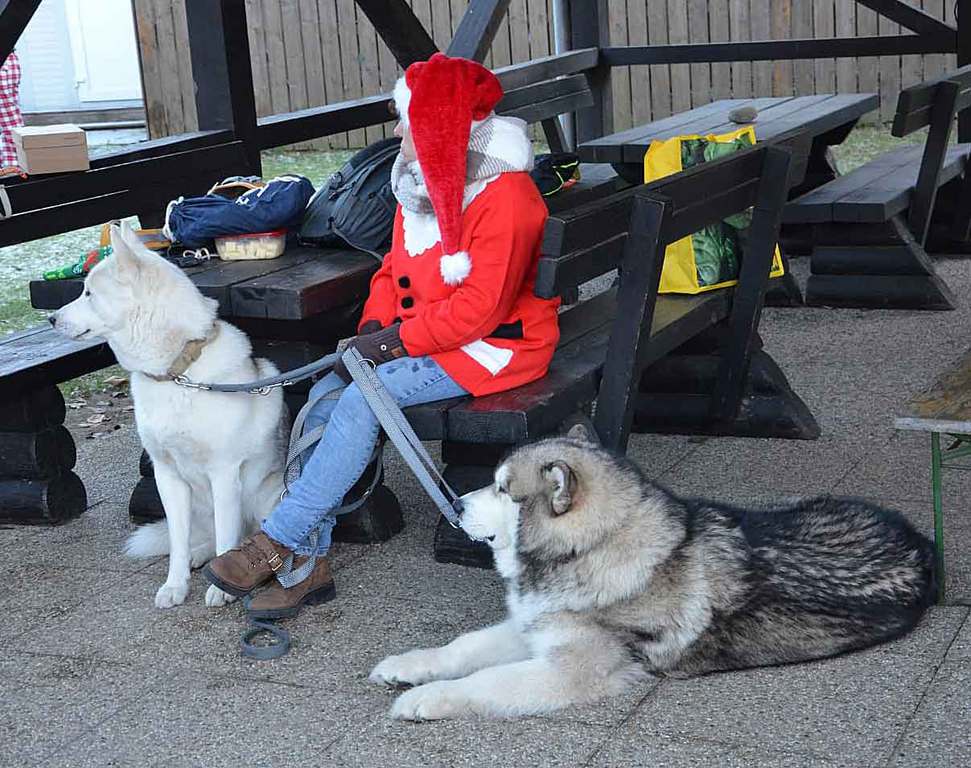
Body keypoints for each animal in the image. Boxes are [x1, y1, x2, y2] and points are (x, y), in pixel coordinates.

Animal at [51, 222, 287, 609]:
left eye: (88, 293)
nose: (50, 318)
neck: (178, 374)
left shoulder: (223, 475)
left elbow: (227, 539)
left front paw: (221, 588)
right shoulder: (167, 477)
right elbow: (178, 541)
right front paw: (175, 585)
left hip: (270, 497)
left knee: (249, 536)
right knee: (205, 538)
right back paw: (198, 554)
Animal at [370, 425, 937, 720]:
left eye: (504, 489)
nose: (455, 505)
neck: (592, 548)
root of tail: (925, 546)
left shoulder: (570, 669)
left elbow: (485, 680)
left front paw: (428, 697)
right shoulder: (535, 625)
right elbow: (462, 647)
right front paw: (408, 666)